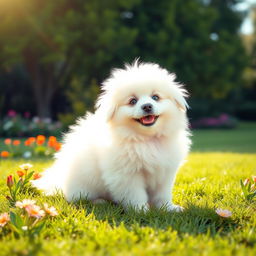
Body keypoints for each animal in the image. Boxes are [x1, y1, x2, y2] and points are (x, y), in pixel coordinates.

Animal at [32, 60, 190, 212]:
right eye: (133, 101)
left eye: (155, 97)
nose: (147, 106)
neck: (145, 139)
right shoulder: (126, 175)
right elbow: (135, 194)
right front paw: (140, 210)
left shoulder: (164, 172)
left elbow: (162, 194)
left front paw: (168, 208)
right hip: (84, 186)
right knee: (80, 198)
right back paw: (99, 202)